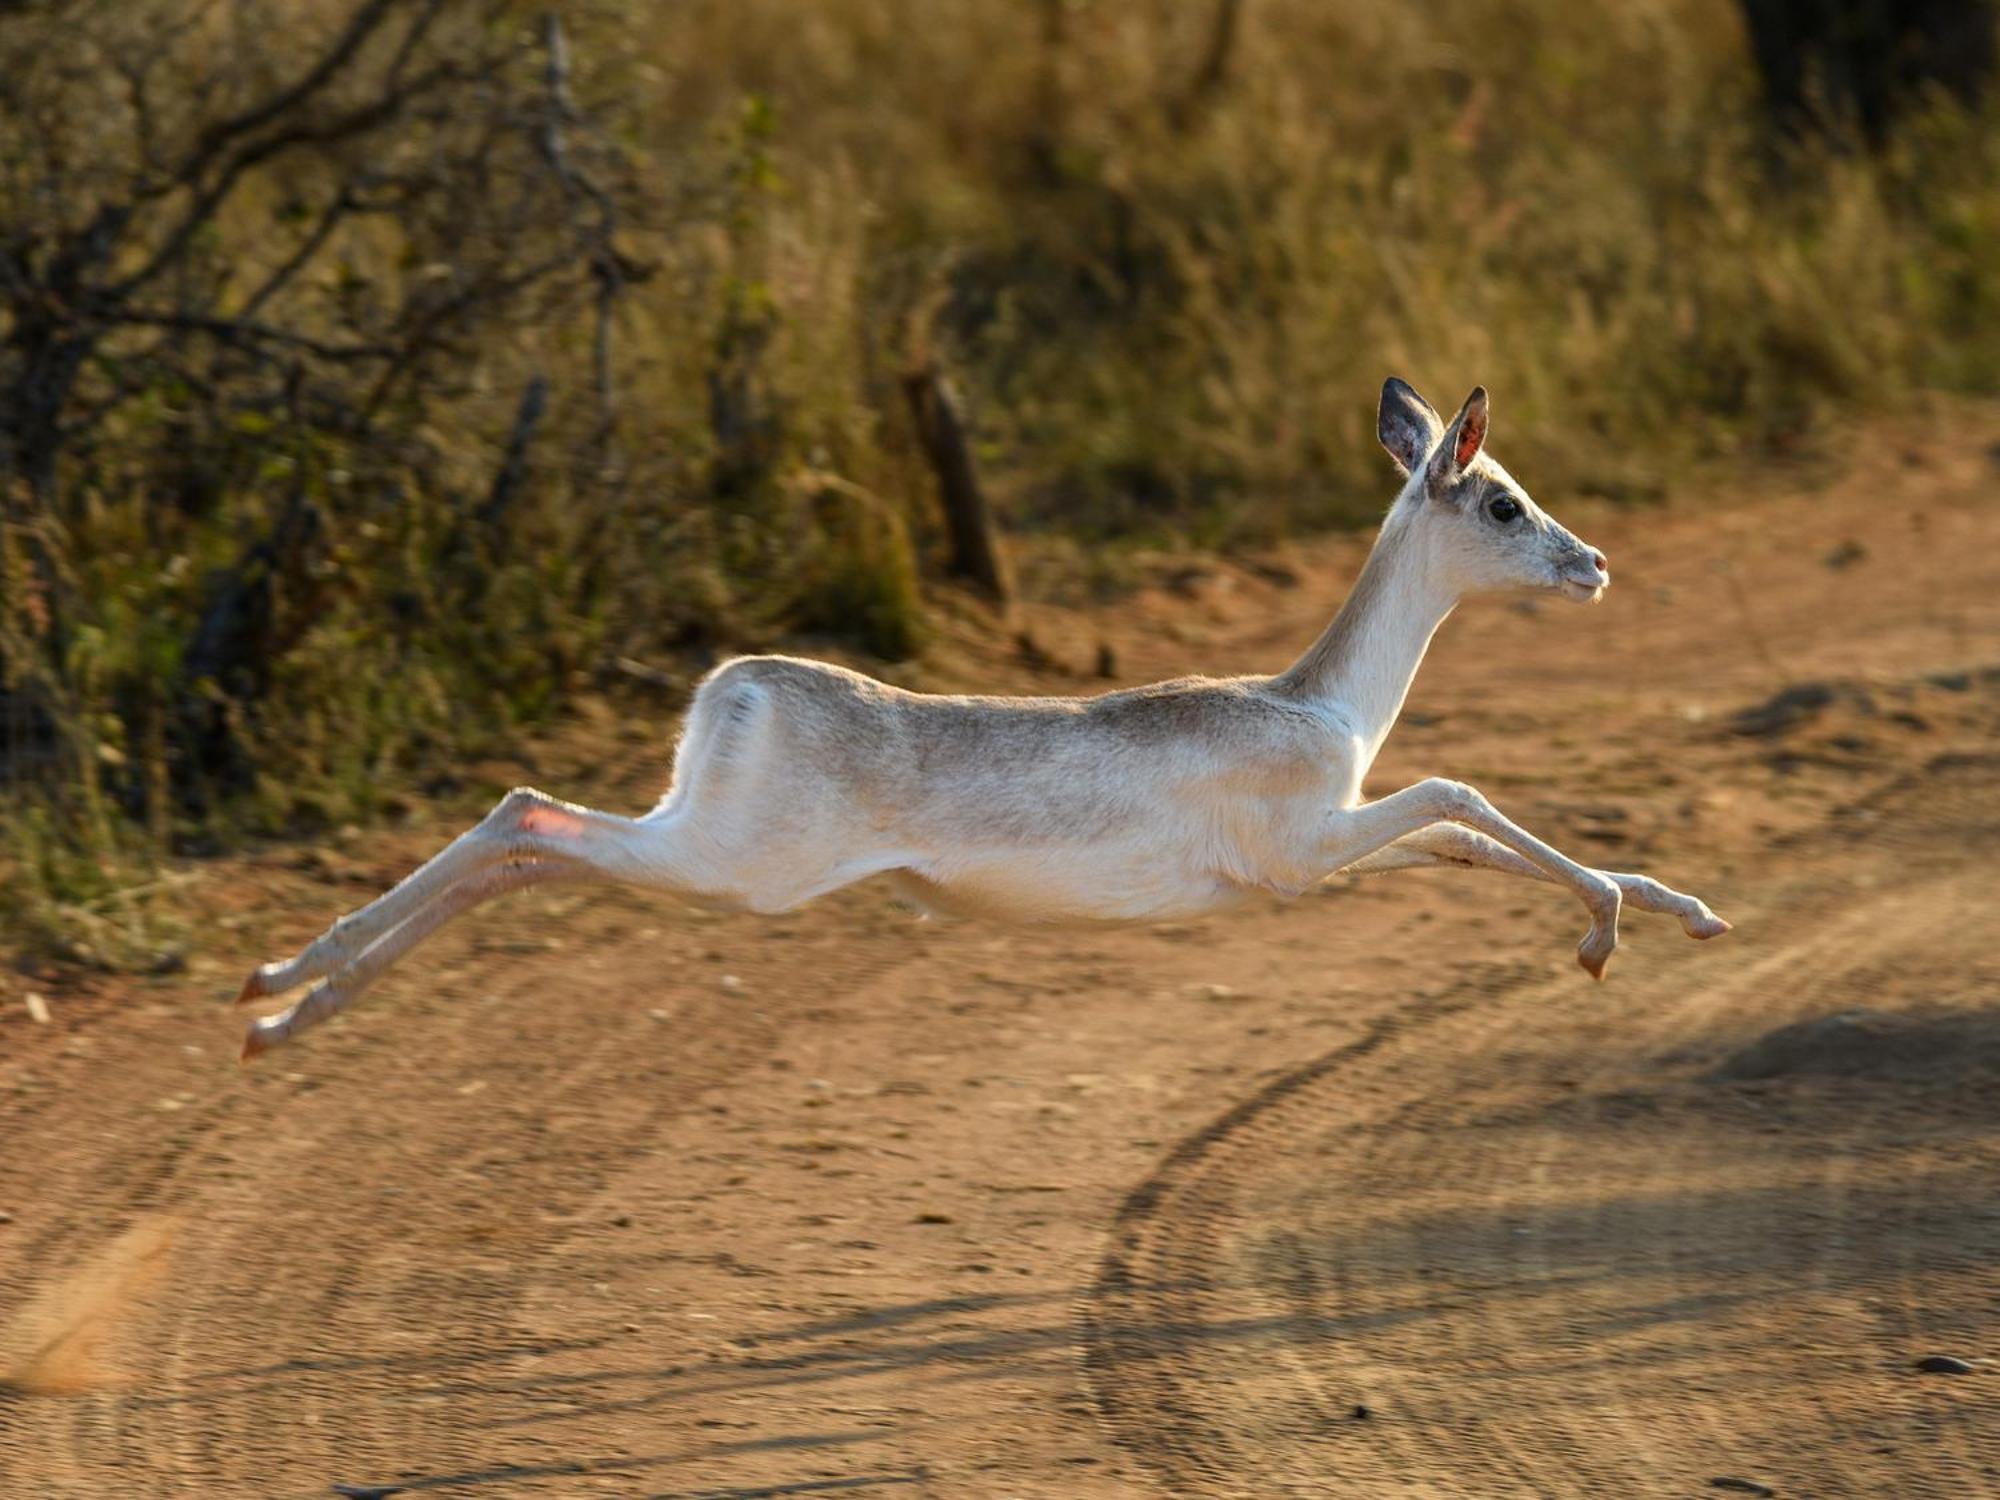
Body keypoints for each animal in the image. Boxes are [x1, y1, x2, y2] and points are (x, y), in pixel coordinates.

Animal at [234, 382, 1728, 1064]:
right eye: (1503, 501)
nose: (1592, 563)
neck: (1317, 704)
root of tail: (737, 683)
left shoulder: (1333, 850)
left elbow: (1465, 841)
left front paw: (1685, 911)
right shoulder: (1307, 844)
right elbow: (1463, 797)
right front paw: (1608, 932)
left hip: (691, 840)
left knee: (519, 843)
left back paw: (279, 1006)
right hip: (723, 863)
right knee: (522, 816)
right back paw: (276, 994)